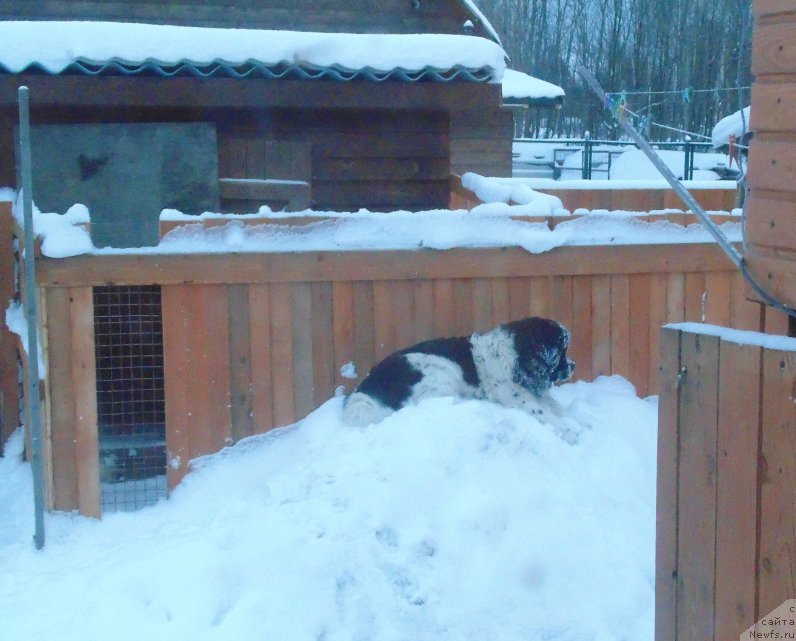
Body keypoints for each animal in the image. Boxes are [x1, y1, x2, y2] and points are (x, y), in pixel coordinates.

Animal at [338, 318, 576, 438]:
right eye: (562, 351)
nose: (573, 366)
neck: (518, 357)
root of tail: (368, 384)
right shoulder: (512, 395)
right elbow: (541, 412)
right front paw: (569, 431)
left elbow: (555, 408)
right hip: (441, 371)